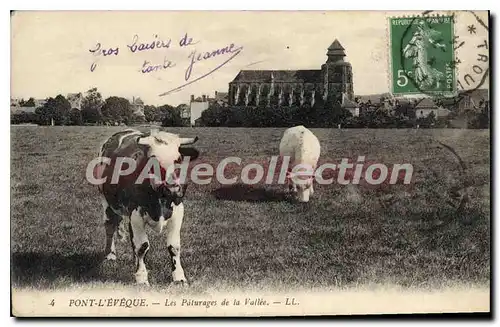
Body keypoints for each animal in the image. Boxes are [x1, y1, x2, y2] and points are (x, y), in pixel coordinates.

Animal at [94, 129, 199, 286]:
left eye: (178, 159)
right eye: (153, 160)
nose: (173, 187)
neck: (160, 198)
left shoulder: (178, 212)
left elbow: (174, 247)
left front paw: (179, 277)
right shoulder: (136, 215)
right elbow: (142, 246)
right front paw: (142, 278)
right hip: (105, 201)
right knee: (109, 226)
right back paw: (110, 254)